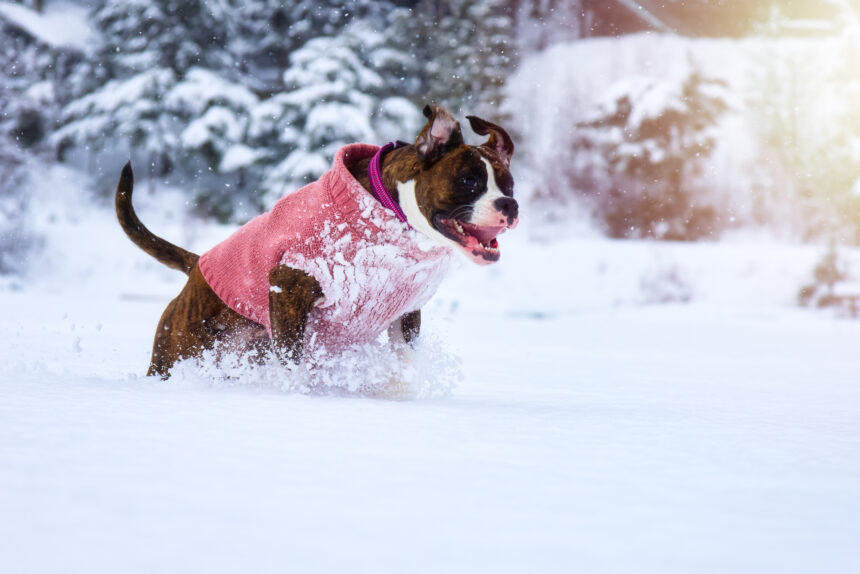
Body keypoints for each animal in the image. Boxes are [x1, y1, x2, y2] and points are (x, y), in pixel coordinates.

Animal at [114, 106, 516, 380]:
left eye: (509, 184)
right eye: (468, 181)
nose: (510, 205)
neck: (389, 217)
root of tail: (197, 266)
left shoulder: (406, 314)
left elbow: (405, 369)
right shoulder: (290, 285)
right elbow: (293, 364)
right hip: (178, 350)